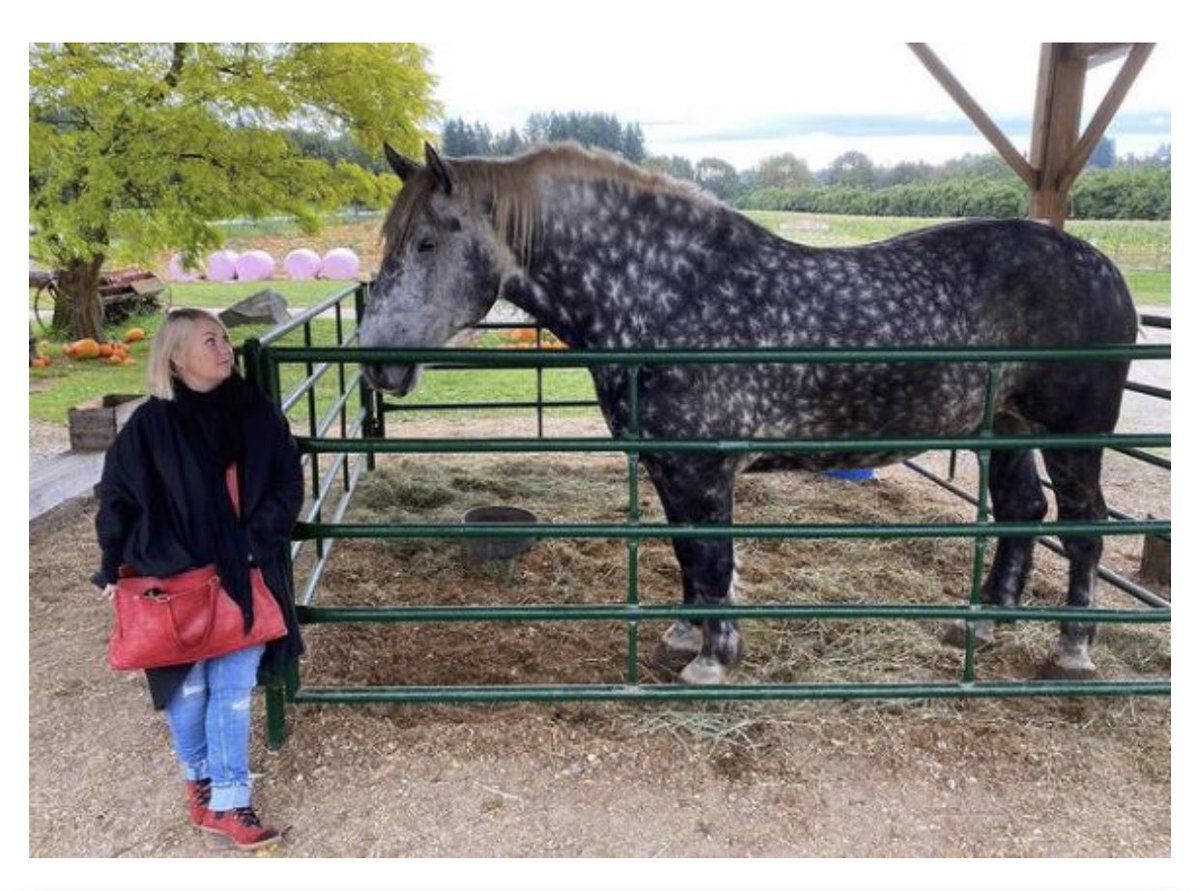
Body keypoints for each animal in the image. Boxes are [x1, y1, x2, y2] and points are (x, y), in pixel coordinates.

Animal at [360, 141, 1137, 685]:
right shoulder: (668, 468)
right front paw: (684, 636)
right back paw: (983, 626)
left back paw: (1073, 650)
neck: (668, 293)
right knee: (1021, 511)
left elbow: (714, 556)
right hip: (1003, 427)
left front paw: (714, 658)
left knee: (1083, 525)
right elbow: (686, 553)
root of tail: (1103, 267)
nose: (377, 365)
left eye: (427, 241)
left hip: (1071, 434)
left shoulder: (705, 471)